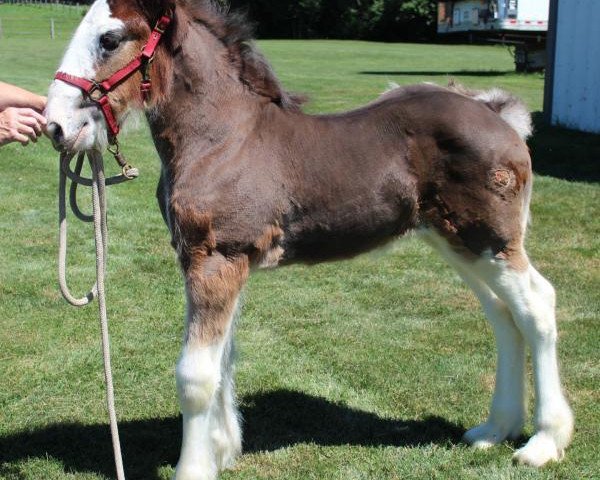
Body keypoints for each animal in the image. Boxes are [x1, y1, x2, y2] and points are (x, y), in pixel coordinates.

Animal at [45, 1, 572, 478]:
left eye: (110, 38)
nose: (55, 126)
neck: (224, 139)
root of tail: (497, 115)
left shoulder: (216, 258)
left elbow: (196, 374)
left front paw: (194, 467)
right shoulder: (224, 263)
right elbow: (225, 360)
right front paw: (223, 451)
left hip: (492, 240)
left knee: (537, 304)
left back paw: (543, 442)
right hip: (458, 242)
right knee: (503, 315)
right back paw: (495, 428)